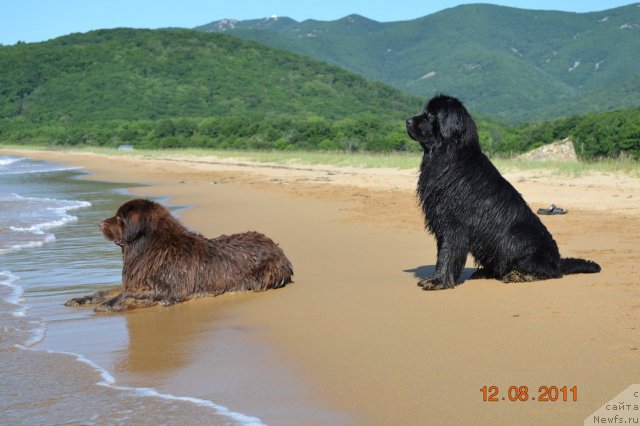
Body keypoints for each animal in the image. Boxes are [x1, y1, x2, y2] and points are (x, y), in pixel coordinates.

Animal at [66, 198, 294, 312]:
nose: (99, 224)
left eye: (121, 218)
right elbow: (106, 291)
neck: (149, 247)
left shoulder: (169, 289)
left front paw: (109, 305)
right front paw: (82, 299)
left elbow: (127, 294)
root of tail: (278, 248)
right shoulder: (137, 281)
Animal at [404, 95, 600, 290]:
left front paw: (438, 281)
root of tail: (558, 260)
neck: (449, 155)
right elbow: (442, 252)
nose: (407, 121)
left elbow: (447, 252)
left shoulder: (454, 222)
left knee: (549, 271)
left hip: (514, 239)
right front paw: (437, 278)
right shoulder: (441, 221)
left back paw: (518, 275)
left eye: (431, 114)